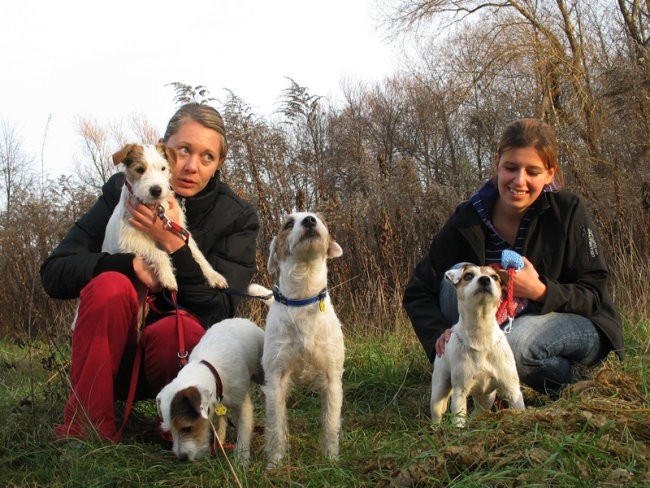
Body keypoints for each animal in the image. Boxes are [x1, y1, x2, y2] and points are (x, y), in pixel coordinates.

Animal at [104, 143, 228, 292]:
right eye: (140, 169)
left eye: (163, 168)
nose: (156, 190)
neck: (154, 206)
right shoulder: (129, 239)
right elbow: (159, 254)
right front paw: (168, 277)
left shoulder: (180, 230)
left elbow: (197, 253)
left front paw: (214, 276)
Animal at [154, 318, 264, 464]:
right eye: (170, 430)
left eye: (186, 428)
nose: (182, 458)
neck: (212, 370)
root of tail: (244, 320)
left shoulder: (242, 404)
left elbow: (244, 430)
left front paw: (241, 459)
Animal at [248, 213, 346, 468]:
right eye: (288, 224)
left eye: (321, 219)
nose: (310, 220)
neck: (303, 296)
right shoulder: (276, 381)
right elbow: (275, 427)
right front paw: (274, 464)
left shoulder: (332, 379)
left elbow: (330, 424)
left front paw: (331, 460)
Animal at [428, 264, 524, 428]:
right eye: (468, 276)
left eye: (494, 277)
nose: (485, 279)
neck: (481, 336)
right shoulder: (460, 392)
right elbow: (459, 420)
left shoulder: (512, 390)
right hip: (439, 391)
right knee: (437, 414)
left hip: (486, 399)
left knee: (477, 413)